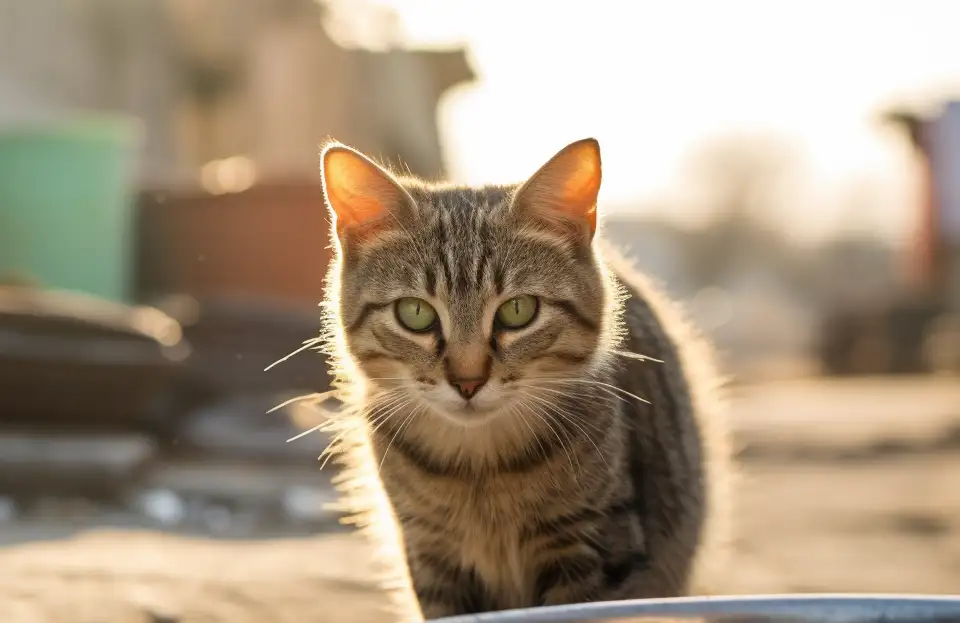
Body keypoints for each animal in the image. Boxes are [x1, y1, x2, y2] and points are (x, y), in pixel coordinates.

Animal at [318, 136, 732, 620]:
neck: (481, 468)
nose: (468, 381)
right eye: (415, 314)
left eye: (518, 311)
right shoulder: (431, 556)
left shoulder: (590, 546)